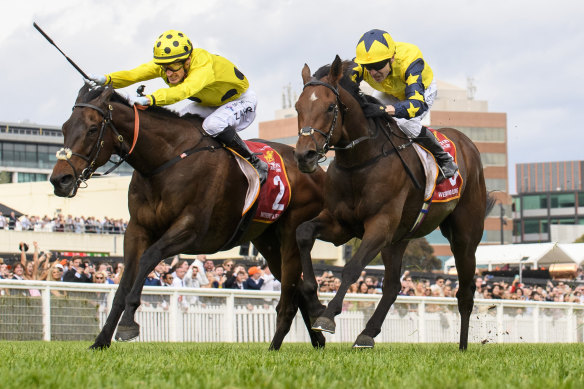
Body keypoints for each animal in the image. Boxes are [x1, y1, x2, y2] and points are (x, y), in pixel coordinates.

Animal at [50, 83, 326, 350]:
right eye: (64, 127)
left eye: (92, 128)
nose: (59, 179)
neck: (166, 160)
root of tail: (317, 170)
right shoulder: (137, 229)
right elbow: (124, 281)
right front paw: (101, 340)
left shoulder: (191, 229)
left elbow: (148, 258)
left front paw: (128, 324)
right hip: (266, 240)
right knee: (296, 286)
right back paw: (317, 338)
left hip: (290, 232)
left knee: (291, 289)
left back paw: (281, 343)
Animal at [296, 56, 492, 350]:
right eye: (298, 107)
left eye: (330, 107)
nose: (304, 156)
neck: (359, 162)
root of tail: (467, 143)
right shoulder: (340, 224)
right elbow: (303, 232)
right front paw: (314, 302)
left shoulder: (380, 225)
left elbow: (352, 269)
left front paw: (327, 316)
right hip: (398, 239)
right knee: (391, 286)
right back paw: (367, 333)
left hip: (464, 237)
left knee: (465, 291)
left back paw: (463, 346)